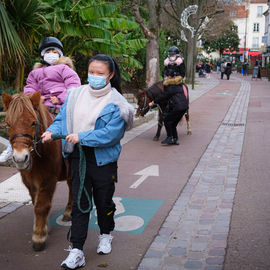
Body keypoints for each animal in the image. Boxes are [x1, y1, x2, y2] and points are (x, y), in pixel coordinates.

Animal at [1, 90, 73, 251]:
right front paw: (44, 226)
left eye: (33, 122)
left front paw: (39, 237)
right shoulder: (29, 181)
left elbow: (41, 206)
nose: (20, 158)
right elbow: (35, 203)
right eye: (8, 124)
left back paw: (69, 212)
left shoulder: (48, 179)